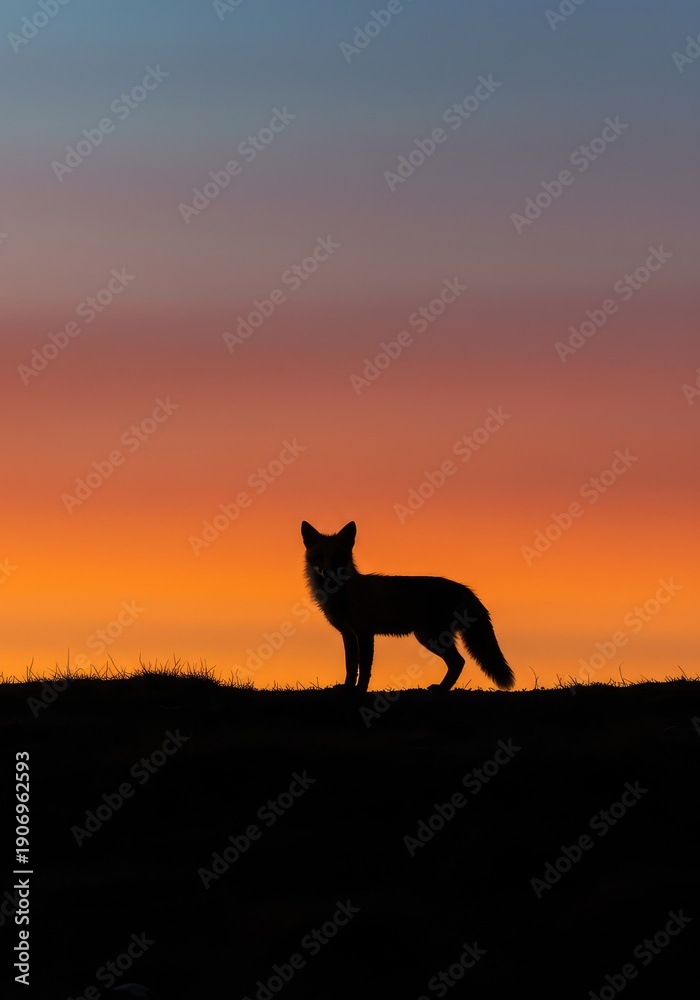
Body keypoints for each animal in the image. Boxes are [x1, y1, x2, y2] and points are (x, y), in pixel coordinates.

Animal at [301, 520, 514, 693]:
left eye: (338, 556)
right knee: (457, 663)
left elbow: (364, 667)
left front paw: (360, 690)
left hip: (432, 637)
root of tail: (463, 588)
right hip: (427, 637)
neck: (343, 595)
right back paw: (442, 688)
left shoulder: (364, 633)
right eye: (318, 556)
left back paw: (441, 689)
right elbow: (351, 665)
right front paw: (347, 688)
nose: (328, 573)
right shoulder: (348, 634)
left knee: (458, 662)